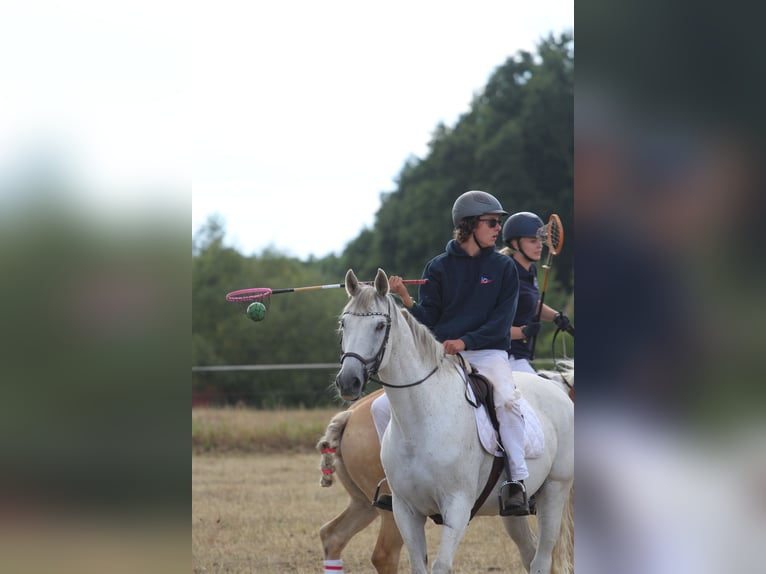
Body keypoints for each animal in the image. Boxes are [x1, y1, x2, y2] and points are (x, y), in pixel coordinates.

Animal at [336, 270, 576, 574]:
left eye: (380, 326)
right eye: (344, 324)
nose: (348, 381)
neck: (421, 420)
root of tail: (558, 390)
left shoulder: (457, 506)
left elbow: (441, 566)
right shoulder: (405, 510)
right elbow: (418, 566)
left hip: (554, 492)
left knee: (542, 559)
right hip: (514, 511)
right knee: (530, 553)